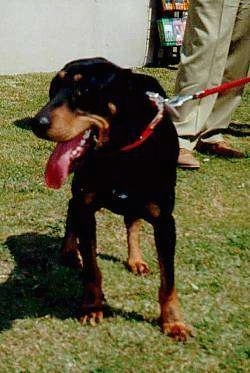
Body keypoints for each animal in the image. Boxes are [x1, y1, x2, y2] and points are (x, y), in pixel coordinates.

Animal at [31, 56, 191, 338]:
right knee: (71, 210)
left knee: (132, 222)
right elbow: (92, 268)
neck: (119, 151)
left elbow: (168, 278)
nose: (36, 123)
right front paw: (92, 307)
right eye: (54, 86)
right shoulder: (86, 207)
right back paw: (69, 251)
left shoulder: (165, 221)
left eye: (84, 90)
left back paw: (135, 259)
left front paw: (173, 321)